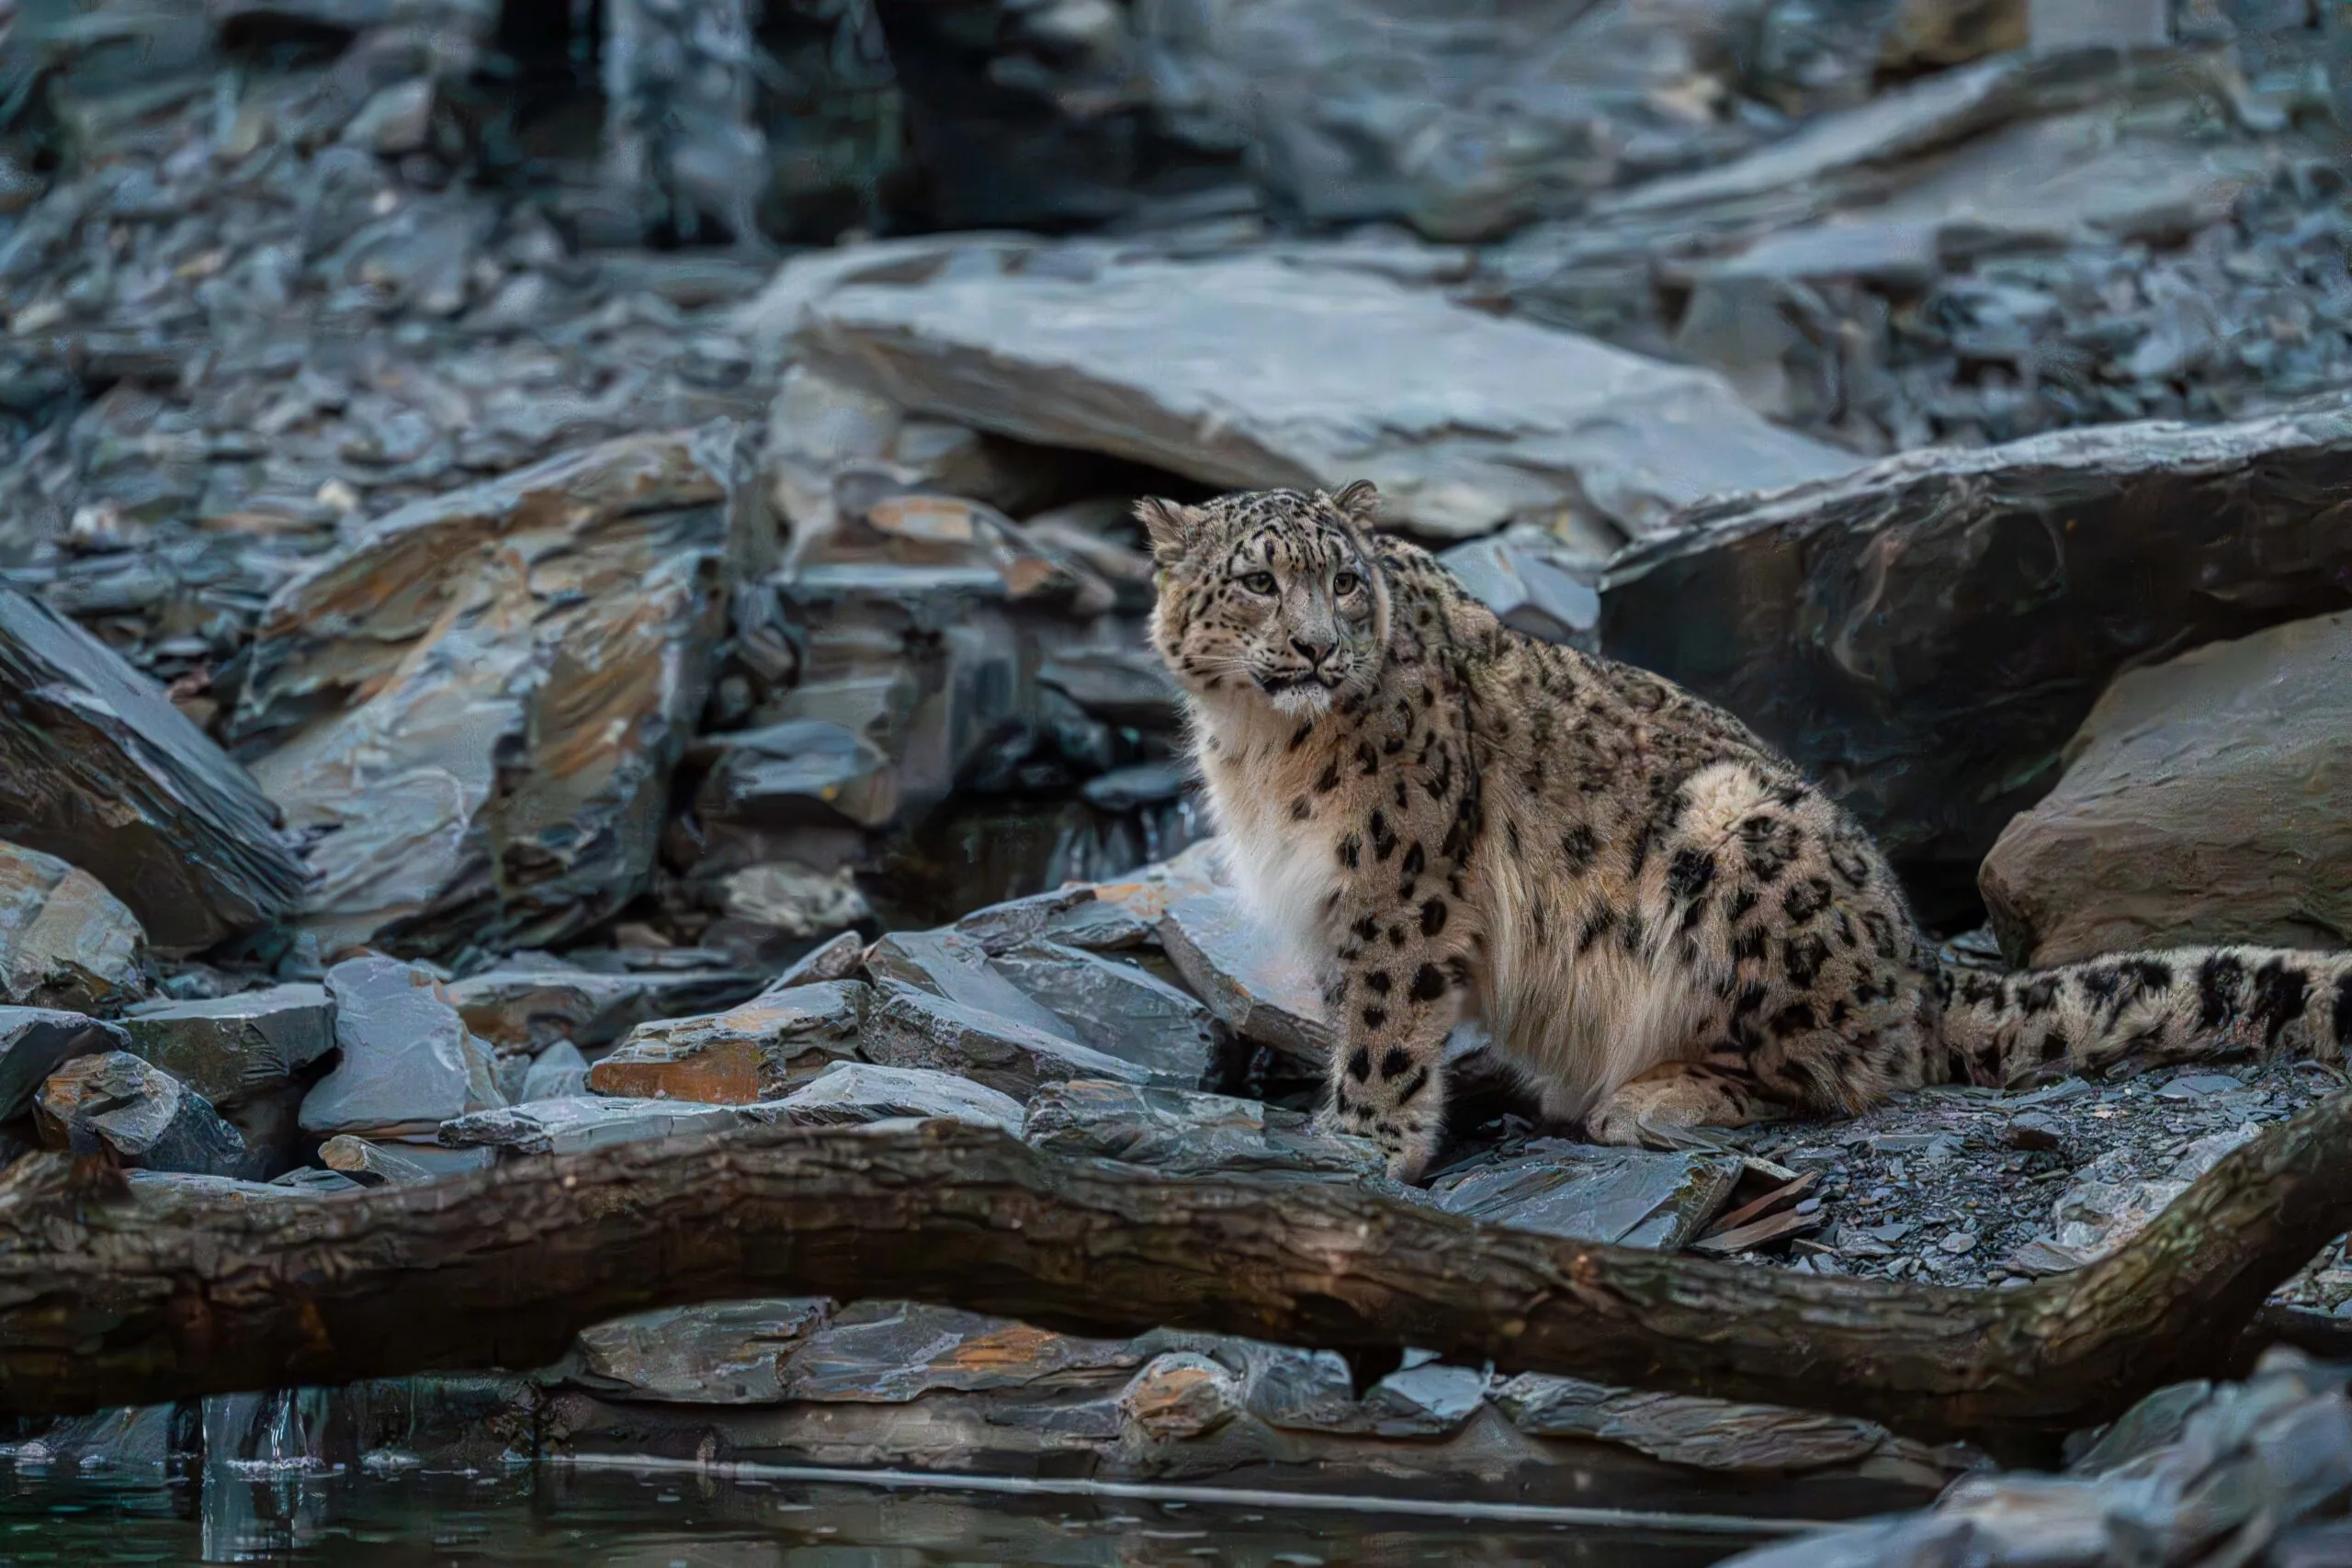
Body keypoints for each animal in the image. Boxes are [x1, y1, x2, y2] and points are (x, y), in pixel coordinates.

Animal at [1141, 480, 2352, 1181]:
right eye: (1257, 583)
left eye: (1345, 581)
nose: (1315, 648)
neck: (1263, 752)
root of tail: (1920, 962)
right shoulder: (1330, 903)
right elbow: (1351, 1010)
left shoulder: (1401, 885)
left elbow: (1389, 1021)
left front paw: (1362, 1144)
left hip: (1735, 839)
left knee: (1849, 1073)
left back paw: (1645, 1095)